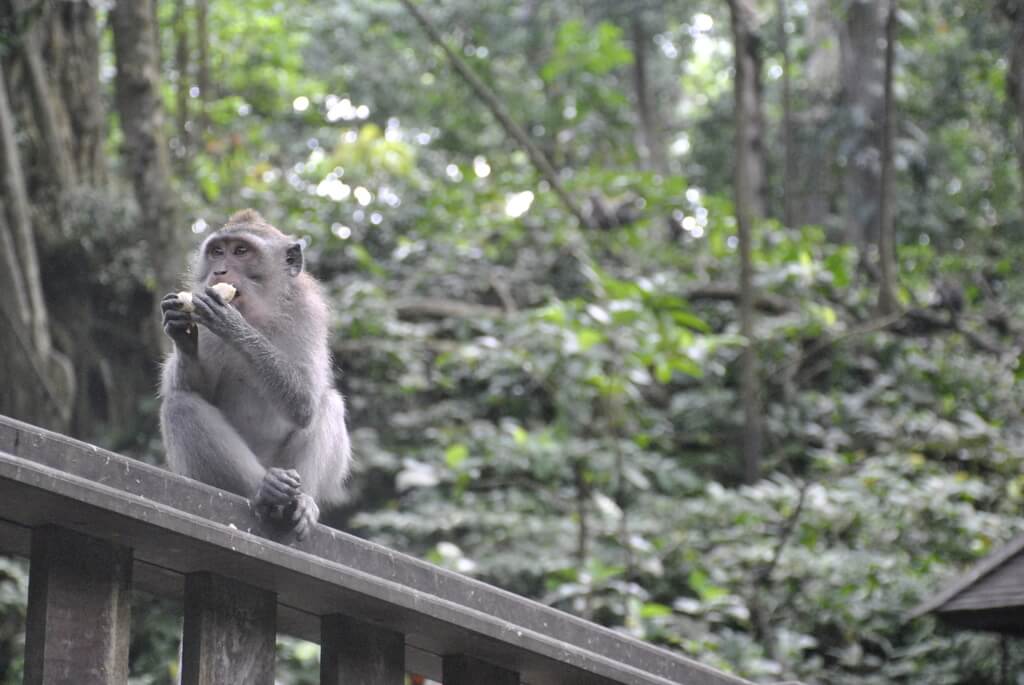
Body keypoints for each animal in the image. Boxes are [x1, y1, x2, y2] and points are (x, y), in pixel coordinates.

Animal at [158, 208, 352, 540]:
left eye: (241, 251)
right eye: (217, 252)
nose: (219, 272)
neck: (258, 314)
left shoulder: (309, 312)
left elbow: (304, 403)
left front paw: (232, 323)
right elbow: (194, 389)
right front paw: (181, 330)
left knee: (328, 404)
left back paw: (300, 501)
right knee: (180, 404)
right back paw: (266, 490)